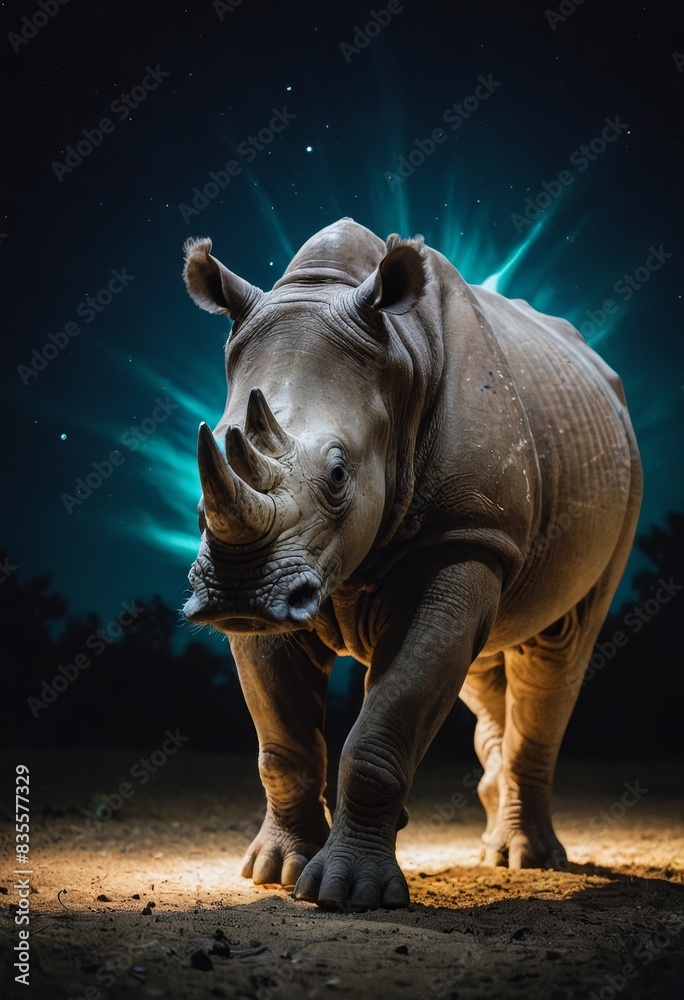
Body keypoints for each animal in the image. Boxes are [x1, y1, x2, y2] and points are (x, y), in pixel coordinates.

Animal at [182, 218, 642, 910]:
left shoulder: (463, 534)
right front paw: (276, 871)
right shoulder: (275, 582)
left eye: (339, 474)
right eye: (204, 467)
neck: (400, 358)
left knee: (557, 651)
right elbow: (282, 740)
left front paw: (348, 893)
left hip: (623, 474)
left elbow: (384, 723)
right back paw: (494, 846)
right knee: (487, 661)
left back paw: (530, 860)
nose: (237, 591)